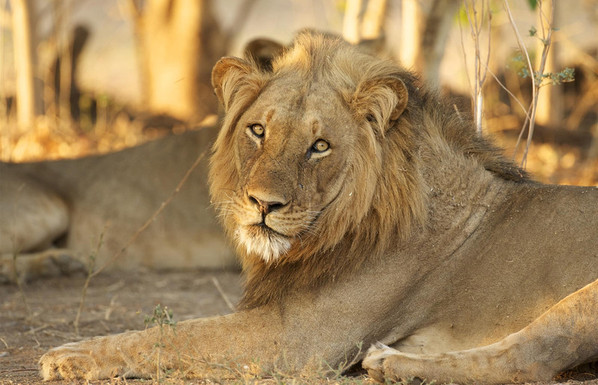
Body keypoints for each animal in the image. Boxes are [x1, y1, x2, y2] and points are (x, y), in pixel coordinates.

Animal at [38, 31, 598, 382]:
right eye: (257, 130)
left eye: (320, 146)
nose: (262, 204)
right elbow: (174, 328)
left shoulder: (299, 338)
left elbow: (175, 337)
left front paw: (67, 355)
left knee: (530, 358)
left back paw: (390, 363)